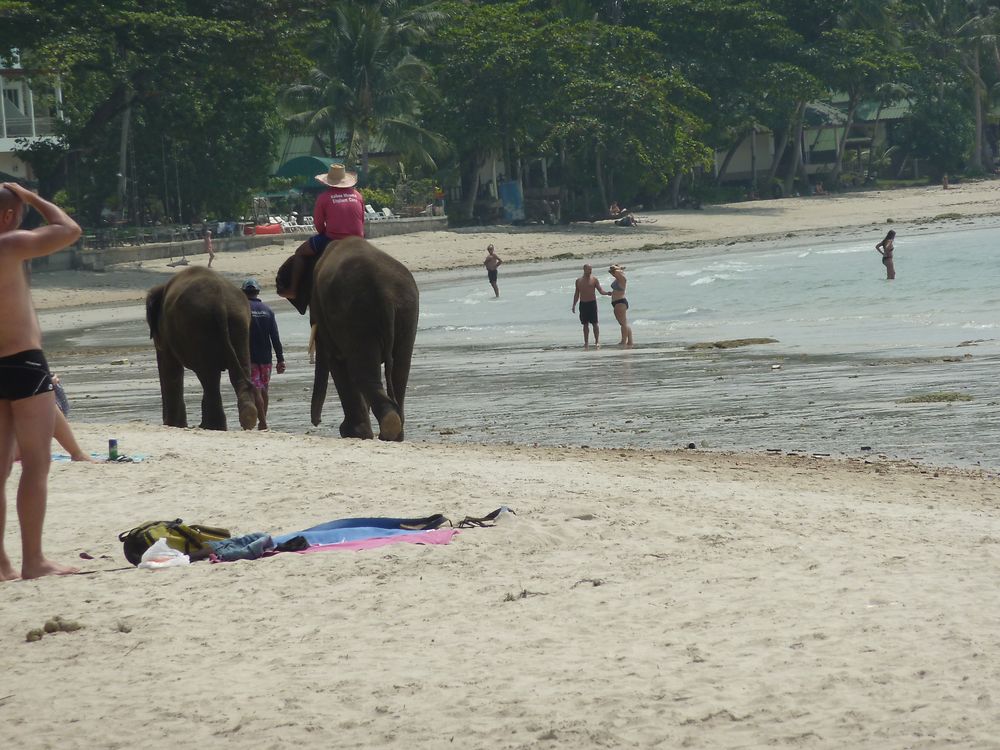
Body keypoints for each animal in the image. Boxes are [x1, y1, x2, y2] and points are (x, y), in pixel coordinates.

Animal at [148, 268, 260, 432]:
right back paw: (246, 418)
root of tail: (219, 303)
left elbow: (171, 369)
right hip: (238, 323)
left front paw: (173, 425)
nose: (164, 422)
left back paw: (212, 426)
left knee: (208, 377)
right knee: (235, 372)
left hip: (199, 327)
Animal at [274, 236, 418, 440]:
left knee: (362, 371)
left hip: (357, 313)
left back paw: (384, 429)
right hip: (404, 311)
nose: (317, 422)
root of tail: (386, 294)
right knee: (400, 369)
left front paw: (352, 433)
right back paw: (395, 432)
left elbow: (336, 361)